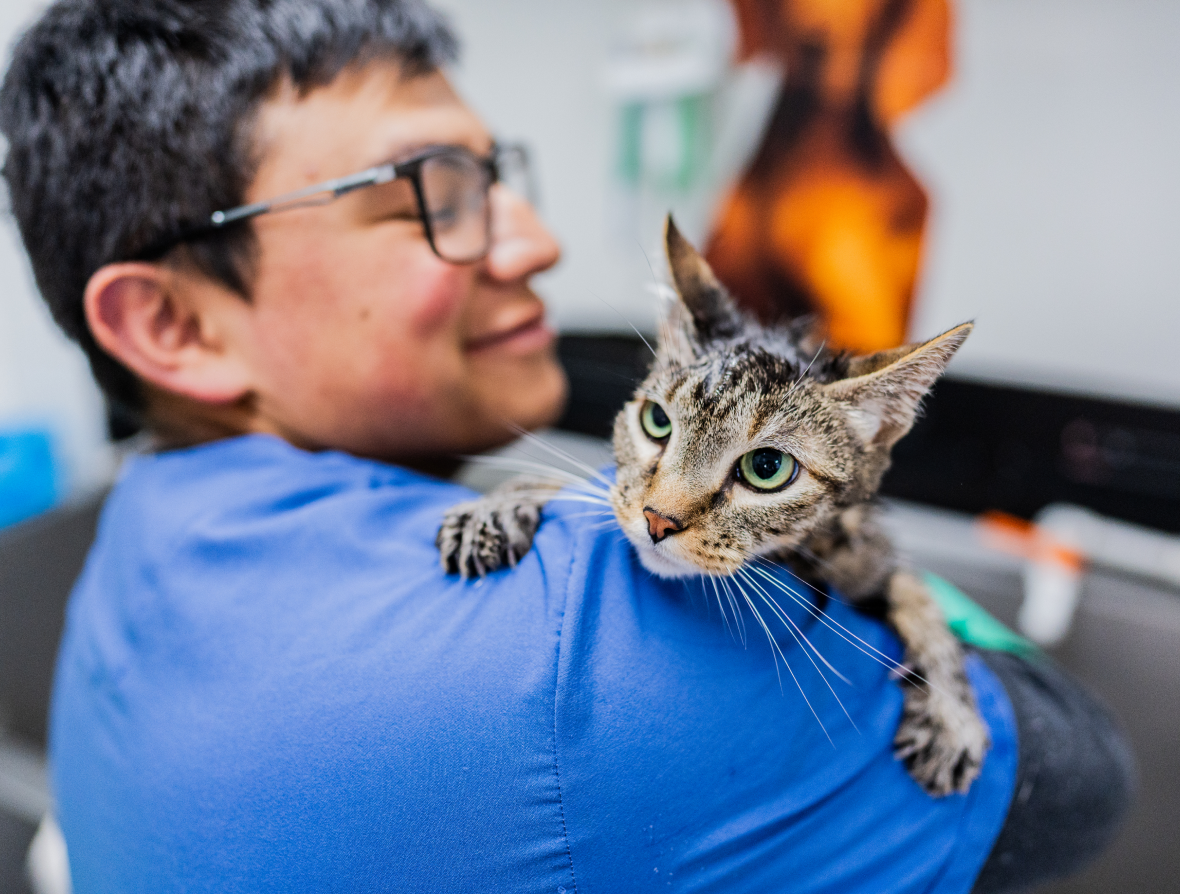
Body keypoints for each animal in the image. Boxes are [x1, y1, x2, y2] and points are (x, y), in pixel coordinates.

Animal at [436, 217, 986, 797]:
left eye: (767, 467)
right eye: (656, 421)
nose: (657, 519)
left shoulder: (865, 552)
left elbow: (916, 591)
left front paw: (951, 714)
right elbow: (589, 485)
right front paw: (501, 505)